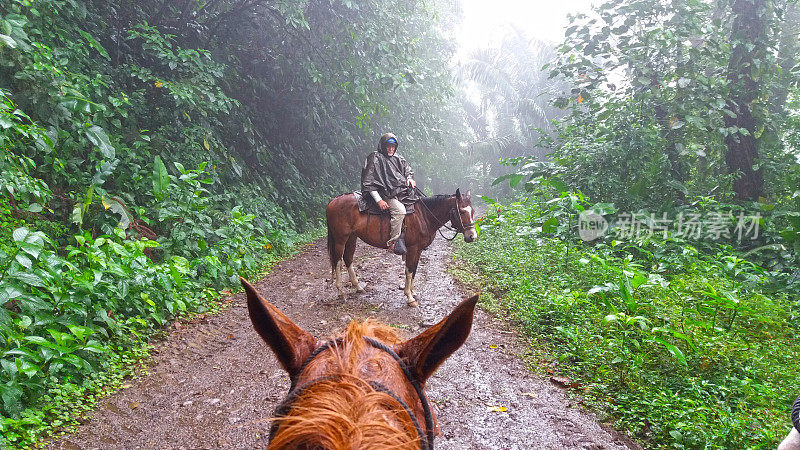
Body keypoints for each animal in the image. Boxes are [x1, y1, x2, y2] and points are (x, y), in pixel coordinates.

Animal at [324, 186, 476, 306]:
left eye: (473, 211)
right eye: (462, 211)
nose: (472, 236)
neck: (423, 216)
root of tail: (332, 202)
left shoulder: (418, 250)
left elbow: (414, 270)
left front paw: (413, 292)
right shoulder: (413, 248)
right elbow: (409, 270)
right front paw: (409, 297)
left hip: (352, 237)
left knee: (348, 258)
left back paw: (358, 286)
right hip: (340, 239)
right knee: (338, 261)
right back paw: (340, 292)